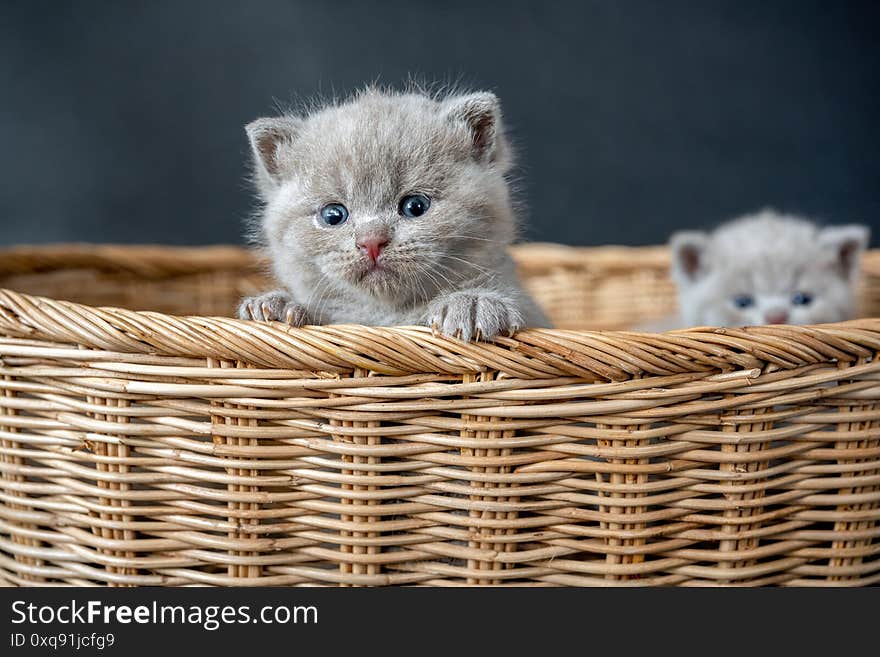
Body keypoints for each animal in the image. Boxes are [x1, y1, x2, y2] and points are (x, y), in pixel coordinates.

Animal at [237, 86, 548, 338]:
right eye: (333, 215)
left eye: (415, 206)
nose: (371, 241)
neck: (385, 316)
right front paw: (278, 306)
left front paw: (471, 304)